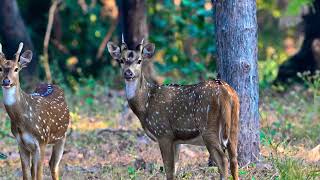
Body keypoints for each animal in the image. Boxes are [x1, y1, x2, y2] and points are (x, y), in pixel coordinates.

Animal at [0, 42, 70, 180]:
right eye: (0, 68)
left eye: (16, 69)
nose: (6, 81)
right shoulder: (20, 143)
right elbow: (27, 174)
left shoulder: (42, 140)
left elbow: (39, 175)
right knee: (39, 167)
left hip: (62, 136)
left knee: (53, 165)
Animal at [106, 38, 239, 180]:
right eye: (121, 60)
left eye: (139, 60)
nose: (128, 73)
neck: (145, 105)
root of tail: (226, 92)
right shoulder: (176, 140)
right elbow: (175, 169)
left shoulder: (164, 133)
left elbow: (169, 170)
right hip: (234, 124)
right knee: (234, 159)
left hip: (208, 126)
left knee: (223, 160)